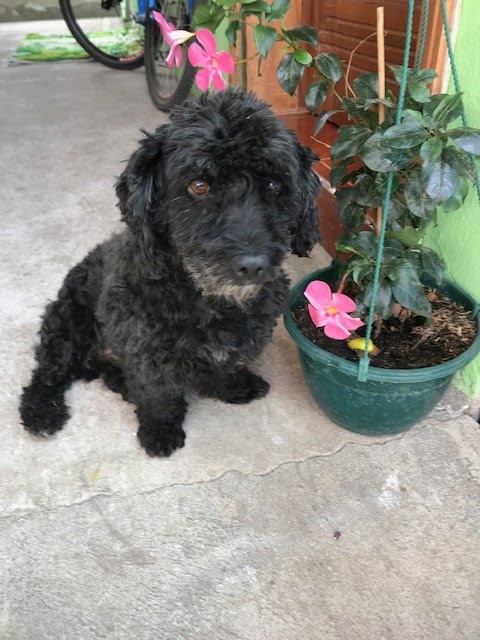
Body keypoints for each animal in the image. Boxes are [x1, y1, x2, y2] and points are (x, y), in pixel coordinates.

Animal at [20, 88, 320, 456]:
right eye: (199, 185)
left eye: (274, 184)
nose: (252, 265)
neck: (209, 301)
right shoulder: (145, 350)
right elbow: (158, 394)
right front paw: (160, 430)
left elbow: (227, 365)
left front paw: (233, 386)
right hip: (66, 323)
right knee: (48, 371)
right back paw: (41, 411)